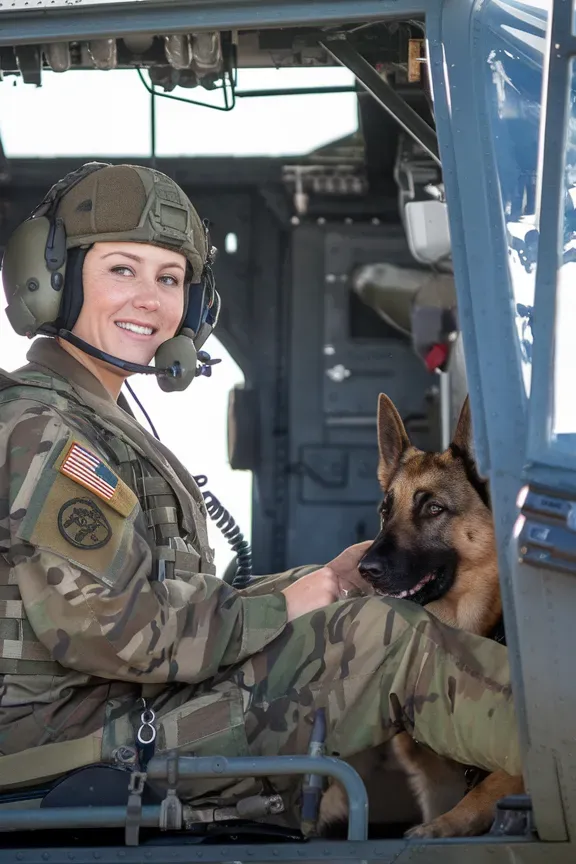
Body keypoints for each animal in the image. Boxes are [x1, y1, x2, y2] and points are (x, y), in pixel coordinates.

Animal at [318, 394, 524, 840]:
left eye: (433, 508)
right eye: (385, 510)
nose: (366, 569)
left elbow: (498, 781)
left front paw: (445, 826)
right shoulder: (436, 781)